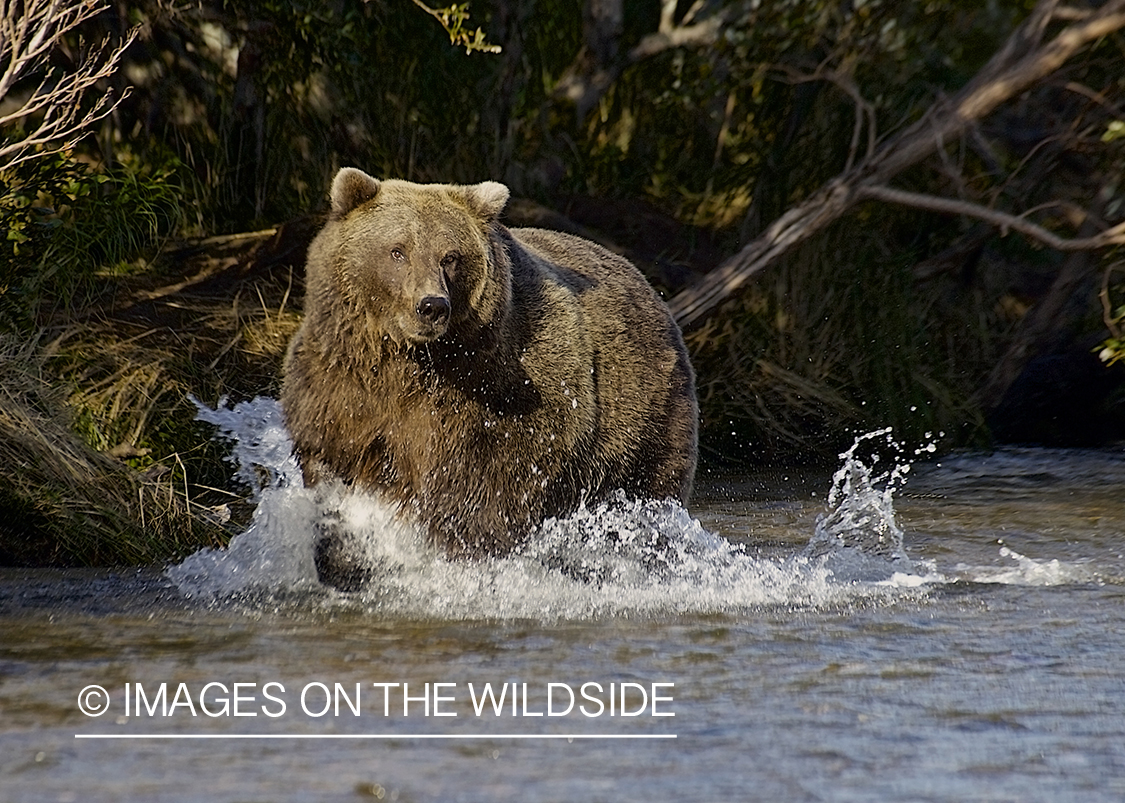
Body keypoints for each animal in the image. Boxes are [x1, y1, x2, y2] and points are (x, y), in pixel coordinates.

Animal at [281, 167, 698, 589]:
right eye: (397, 250)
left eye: (450, 256)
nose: (432, 306)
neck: (411, 361)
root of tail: (646, 284)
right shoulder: (342, 389)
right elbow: (333, 470)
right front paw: (344, 558)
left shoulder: (501, 392)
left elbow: (489, 485)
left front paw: (464, 552)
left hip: (645, 424)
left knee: (647, 504)